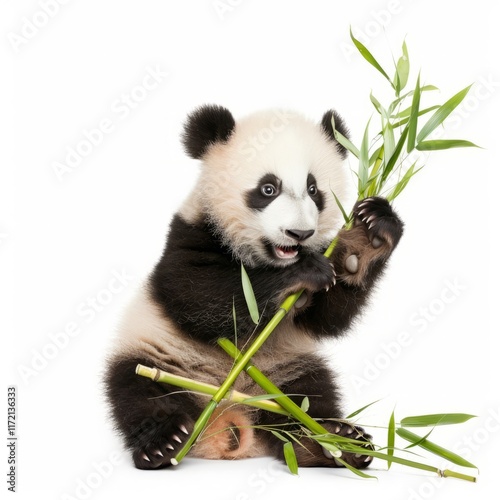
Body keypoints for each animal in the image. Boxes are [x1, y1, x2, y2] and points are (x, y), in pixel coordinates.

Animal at [103, 103, 404, 470]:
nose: (299, 234)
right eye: (268, 189)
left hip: (288, 370)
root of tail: (230, 418)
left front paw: (372, 233)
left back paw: (331, 441)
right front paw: (303, 271)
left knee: (310, 398)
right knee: (138, 391)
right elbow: (200, 298)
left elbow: (328, 317)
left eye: (314, 189)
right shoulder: (187, 237)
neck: (265, 258)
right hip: (159, 355)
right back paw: (164, 443)